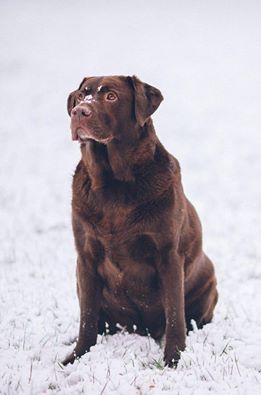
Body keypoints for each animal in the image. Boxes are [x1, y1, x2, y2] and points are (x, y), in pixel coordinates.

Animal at [63, 75, 217, 368]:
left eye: (111, 96)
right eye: (81, 95)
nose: (79, 112)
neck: (113, 184)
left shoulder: (169, 255)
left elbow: (175, 315)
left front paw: (173, 360)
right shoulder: (85, 256)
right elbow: (87, 317)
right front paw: (77, 355)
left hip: (209, 281)